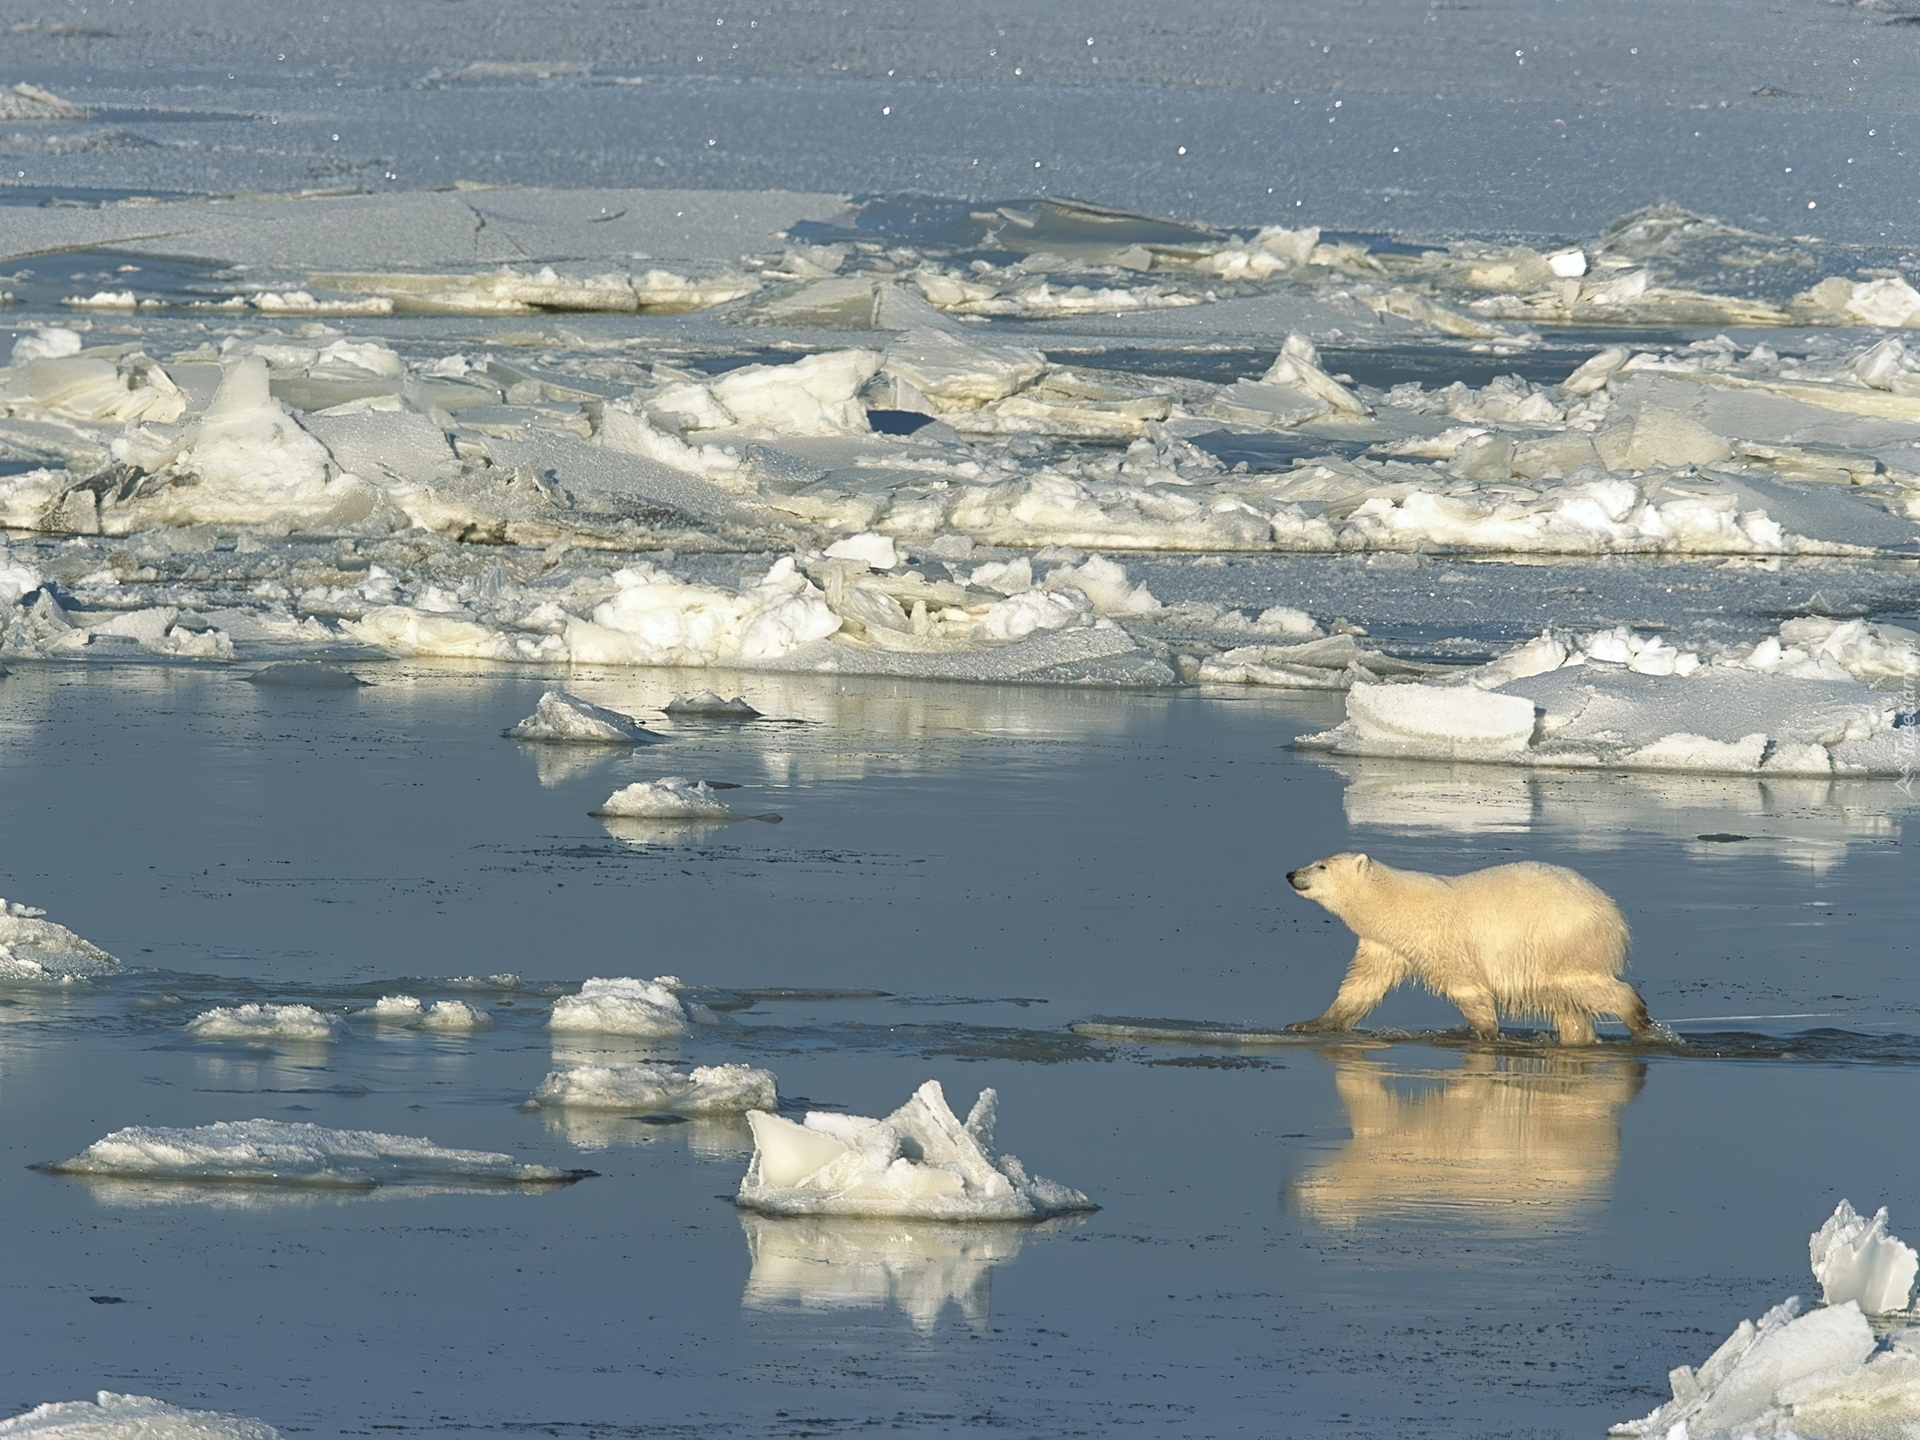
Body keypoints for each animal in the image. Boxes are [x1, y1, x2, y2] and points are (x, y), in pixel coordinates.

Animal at [1290, 856, 1651, 1052]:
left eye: (1321, 865)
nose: (1291, 874)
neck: (1397, 905)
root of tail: (1614, 916)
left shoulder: (1440, 936)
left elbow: (1465, 985)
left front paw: (1486, 1034)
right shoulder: (1385, 946)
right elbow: (1361, 986)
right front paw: (1308, 1024)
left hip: (1562, 942)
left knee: (1584, 986)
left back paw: (1639, 1020)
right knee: (1568, 1006)